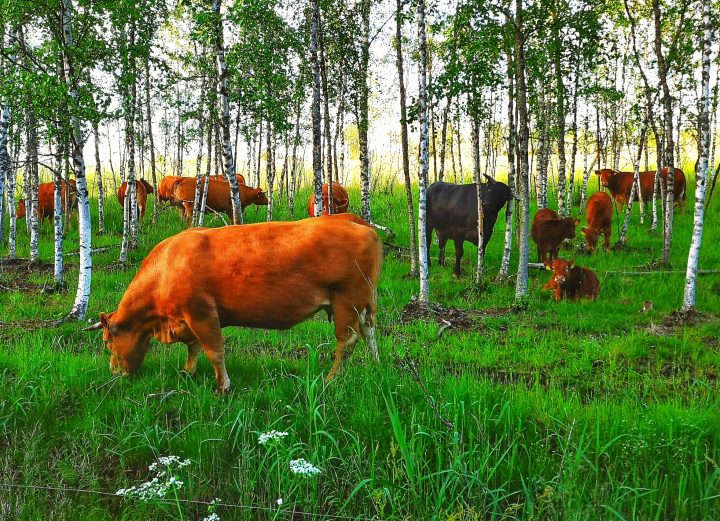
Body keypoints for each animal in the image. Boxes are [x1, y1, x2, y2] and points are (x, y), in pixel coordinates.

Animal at [86, 214, 382, 390]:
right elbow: (194, 347)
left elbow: (214, 350)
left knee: (347, 341)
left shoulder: (201, 312)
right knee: (369, 333)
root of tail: (351, 218)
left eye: (107, 341)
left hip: (346, 301)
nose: (114, 372)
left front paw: (222, 386)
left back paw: (331, 379)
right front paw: (188, 372)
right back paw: (377, 365)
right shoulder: (190, 318)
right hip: (362, 303)